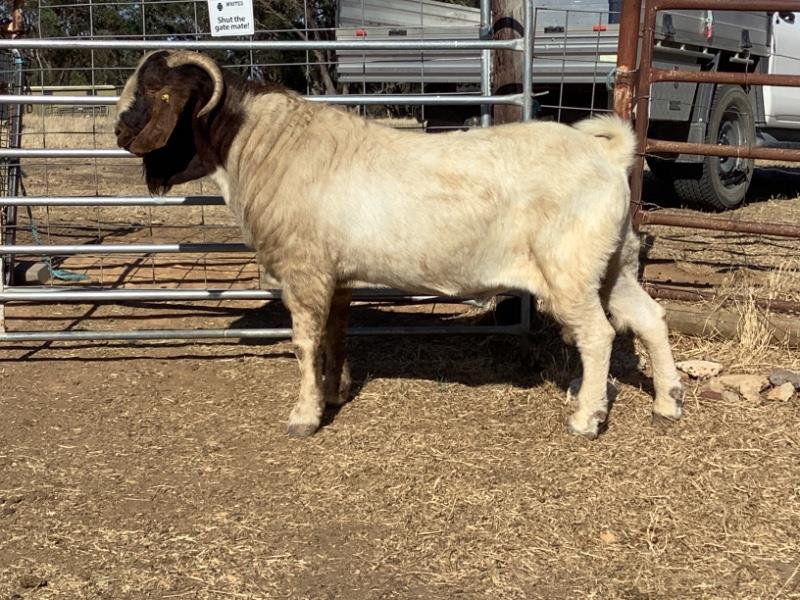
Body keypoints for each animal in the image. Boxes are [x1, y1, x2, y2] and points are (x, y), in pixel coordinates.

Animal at [115, 50, 684, 439]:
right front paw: (336, 392)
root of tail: (607, 157)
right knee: (649, 316)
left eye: (152, 92)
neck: (268, 147)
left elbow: (304, 343)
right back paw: (668, 401)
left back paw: (587, 416)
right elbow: (335, 336)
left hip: (568, 268)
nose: (119, 132)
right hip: (611, 262)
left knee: (598, 335)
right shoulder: (337, 277)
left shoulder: (305, 271)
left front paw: (304, 416)